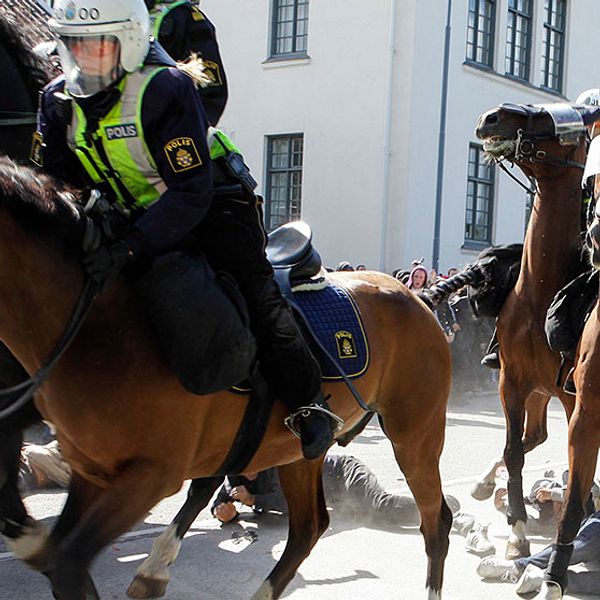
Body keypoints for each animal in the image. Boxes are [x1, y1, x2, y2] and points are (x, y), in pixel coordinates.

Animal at [0, 156, 452, 600]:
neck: (106, 322)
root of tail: (415, 296)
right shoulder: (91, 471)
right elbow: (58, 555)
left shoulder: (149, 476)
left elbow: (67, 563)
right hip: (297, 453)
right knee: (308, 528)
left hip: (415, 434)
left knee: (436, 521)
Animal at [474, 102, 596, 556]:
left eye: (551, 118)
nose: (491, 118)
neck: (538, 292)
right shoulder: (511, 382)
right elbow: (513, 451)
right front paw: (518, 529)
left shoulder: (571, 398)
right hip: (537, 392)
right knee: (531, 439)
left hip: (550, 394)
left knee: (540, 438)